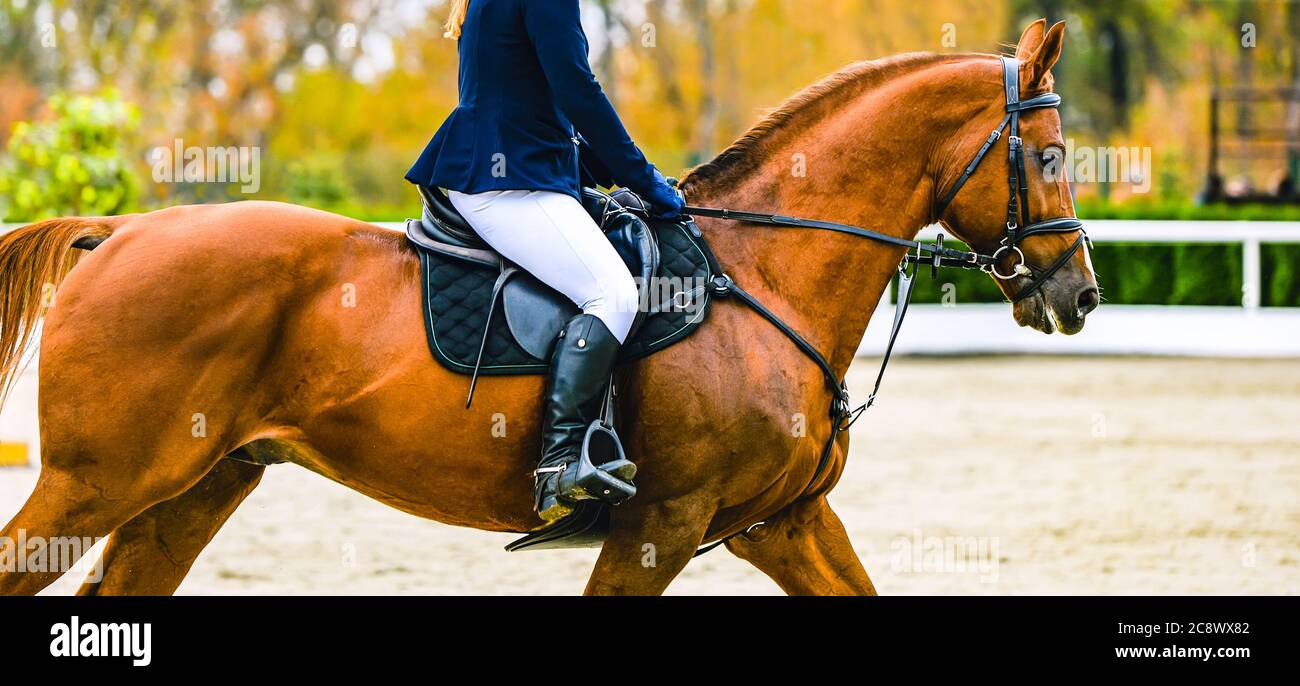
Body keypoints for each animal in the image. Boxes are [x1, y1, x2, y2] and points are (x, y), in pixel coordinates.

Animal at [0, 18, 1097, 592]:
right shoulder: (661, 520)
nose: (1078, 292)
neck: (762, 270)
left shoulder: (781, 518)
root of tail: (122, 231)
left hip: (196, 484)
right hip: (96, 484)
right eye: (1049, 157)